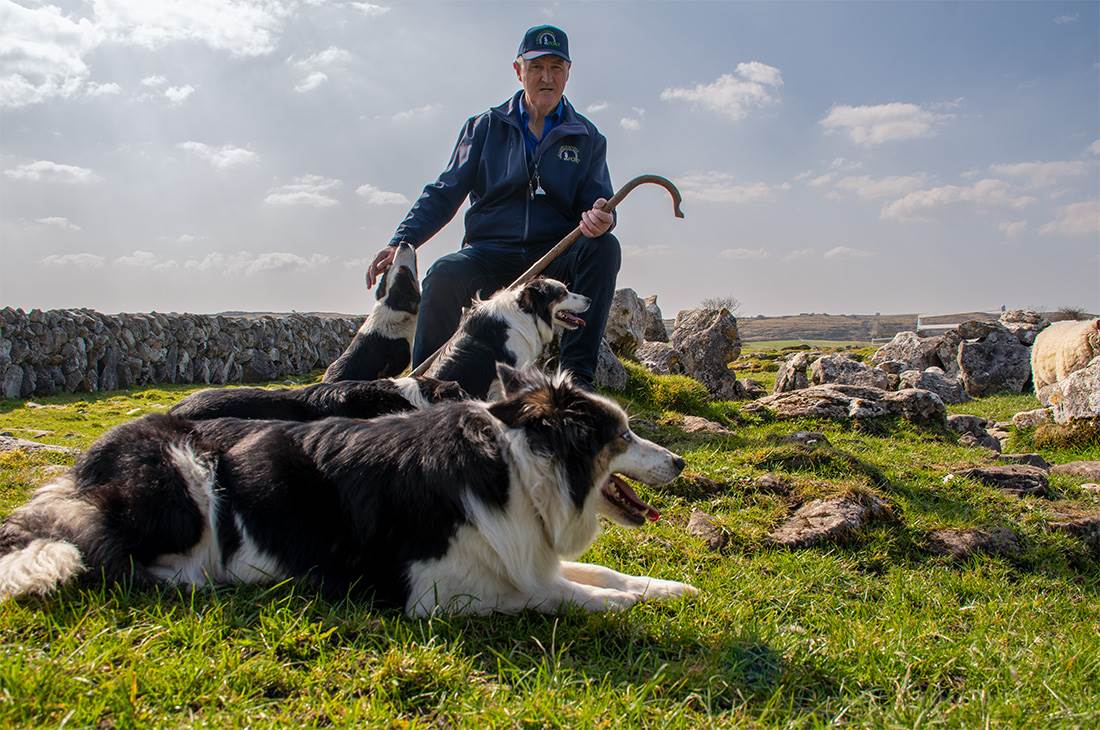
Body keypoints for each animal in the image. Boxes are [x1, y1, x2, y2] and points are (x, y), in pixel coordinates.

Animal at [0, 364, 695, 615]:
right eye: (623, 435)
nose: (682, 463)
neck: (519, 470)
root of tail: (86, 468)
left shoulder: (523, 555)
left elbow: (602, 574)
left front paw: (673, 588)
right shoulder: (442, 593)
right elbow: (577, 597)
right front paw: (643, 602)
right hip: (180, 481)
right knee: (114, 553)